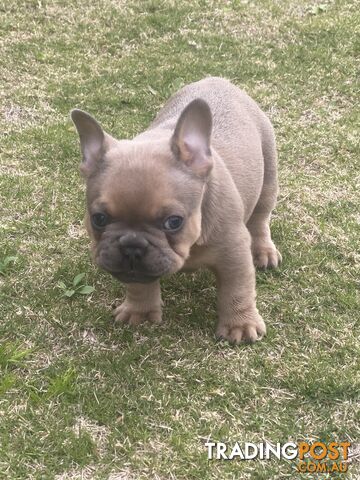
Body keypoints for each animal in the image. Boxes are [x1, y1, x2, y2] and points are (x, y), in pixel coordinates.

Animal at [71, 77, 282, 344]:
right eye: (98, 219)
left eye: (174, 221)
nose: (131, 246)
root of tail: (218, 80)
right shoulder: (137, 272)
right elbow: (139, 284)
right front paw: (139, 310)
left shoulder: (234, 253)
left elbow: (237, 290)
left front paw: (240, 326)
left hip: (268, 175)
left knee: (260, 218)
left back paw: (264, 251)